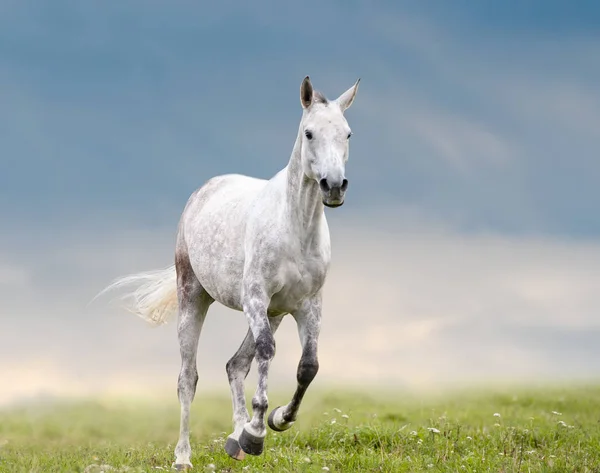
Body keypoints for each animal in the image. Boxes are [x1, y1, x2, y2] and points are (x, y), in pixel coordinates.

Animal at [100, 75, 358, 466]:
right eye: (309, 133)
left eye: (347, 134)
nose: (333, 186)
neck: (294, 228)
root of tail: (202, 191)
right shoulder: (255, 298)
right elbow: (266, 353)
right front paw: (256, 433)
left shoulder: (308, 305)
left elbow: (308, 366)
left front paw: (276, 420)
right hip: (194, 298)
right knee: (187, 379)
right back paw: (184, 456)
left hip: (274, 313)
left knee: (235, 365)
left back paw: (236, 438)